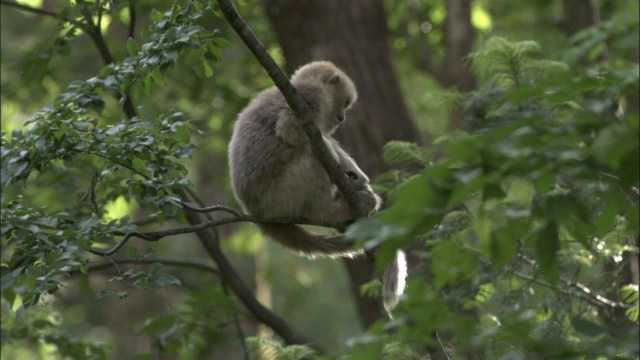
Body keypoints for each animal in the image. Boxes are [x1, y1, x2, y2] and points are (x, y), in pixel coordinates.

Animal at [228, 59, 402, 312]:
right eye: (345, 103)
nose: (342, 118)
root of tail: (258, 214)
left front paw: (358, 177)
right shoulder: (309, 99)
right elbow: (291, 130)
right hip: (282, 195)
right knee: (311, 158)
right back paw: (335, 210)